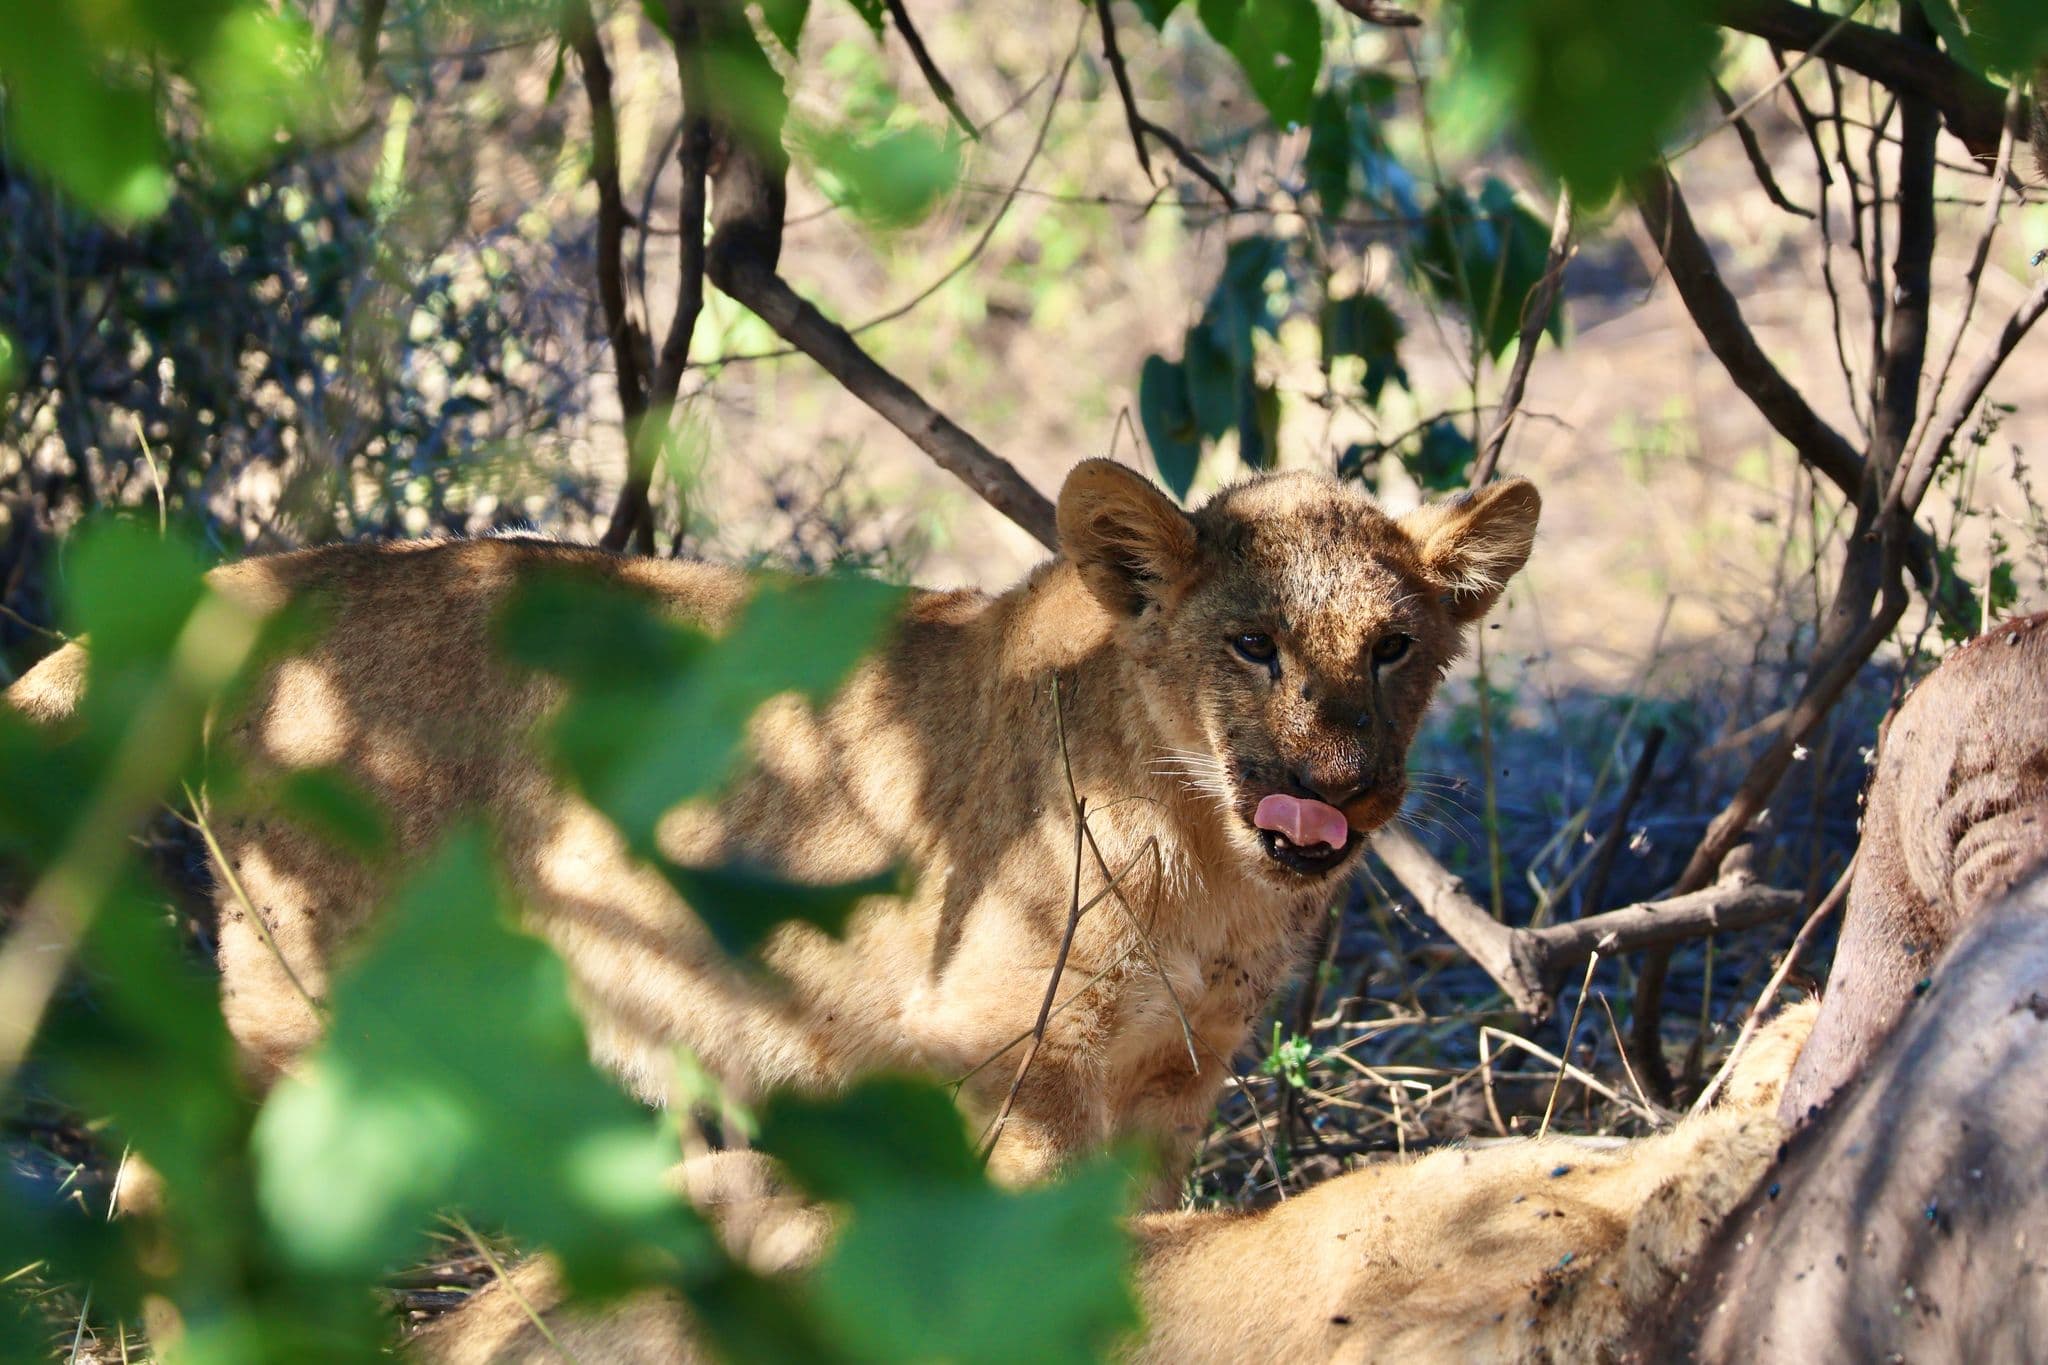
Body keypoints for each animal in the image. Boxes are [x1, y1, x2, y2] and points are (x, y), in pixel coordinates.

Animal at [7, 460, 1539, 1185]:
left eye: (1393, 648)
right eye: (1251, 647)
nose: (1336, 786)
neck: (1209, 853)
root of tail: (266, 577)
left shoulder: (1174, 1081)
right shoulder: (1015, 1066)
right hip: (313, 992)